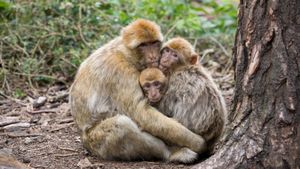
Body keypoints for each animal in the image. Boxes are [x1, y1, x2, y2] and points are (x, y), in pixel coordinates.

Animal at [69, 19, 207, 163]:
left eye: (154, 43)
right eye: (143, 45)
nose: (153, 56)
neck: (125, 53)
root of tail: (83, 138)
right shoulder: (121, 72)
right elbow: (140, 113)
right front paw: (198, 142)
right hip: (96, 143)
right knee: (122, 125)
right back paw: (171, 153)